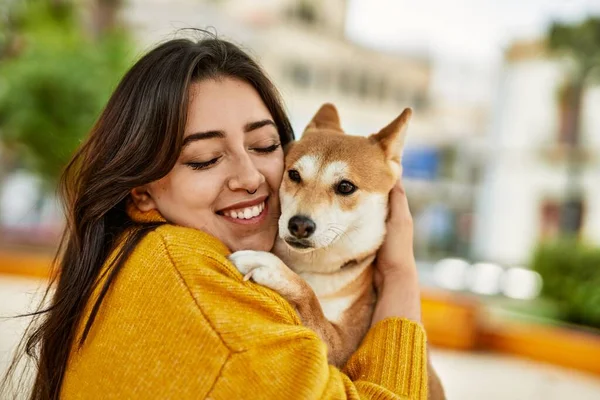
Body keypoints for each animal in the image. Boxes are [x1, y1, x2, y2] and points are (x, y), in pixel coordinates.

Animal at [230, 104, 446, 400]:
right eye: (294, 174)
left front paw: (273, 268)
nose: (299, 224)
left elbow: (311, 301)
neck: (315, 268)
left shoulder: (344, 348)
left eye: (345, 186)